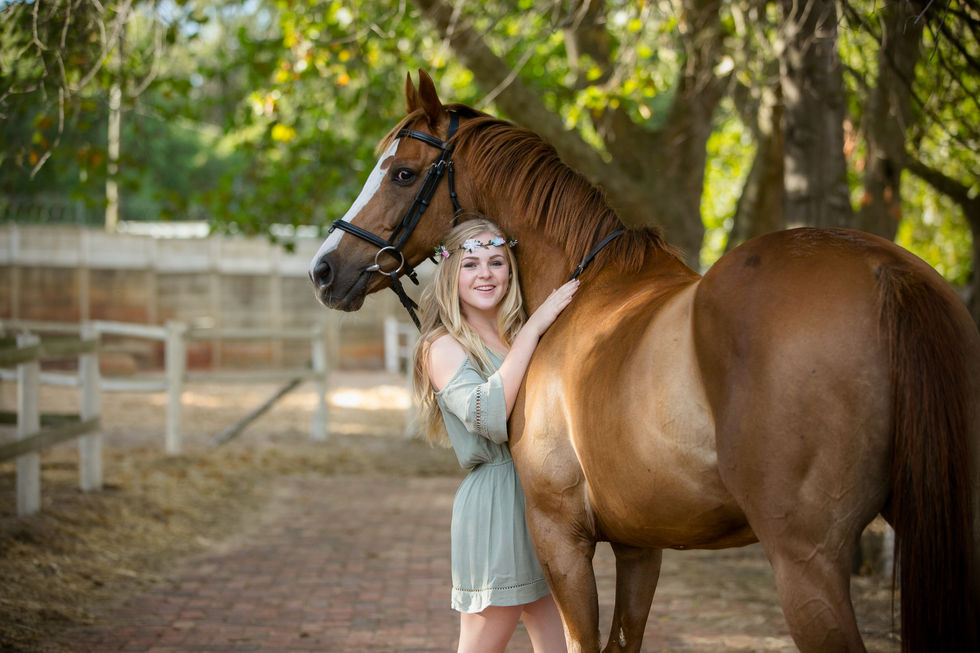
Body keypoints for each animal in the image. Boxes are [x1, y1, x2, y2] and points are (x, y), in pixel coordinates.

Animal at [308, 70, 980, 653]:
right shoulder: (640, 545)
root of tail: (885, 270)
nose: (324, 270)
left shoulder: (560, 536)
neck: (587, 284)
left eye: (402, 173)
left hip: (806, 562)